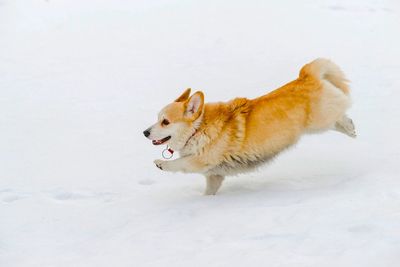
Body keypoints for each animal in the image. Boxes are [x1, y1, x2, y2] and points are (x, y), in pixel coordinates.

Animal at [143, 58, 356, 196]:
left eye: (165, 122)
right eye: (157, 118)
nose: (145, 132)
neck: (198, 128)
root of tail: (305, 76)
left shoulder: (200, 161)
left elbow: (180, 163)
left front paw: (161, 163)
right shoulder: (215, 175)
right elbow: (210, 190)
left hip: (320, 120)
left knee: (341, 111)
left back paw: (350, 127)